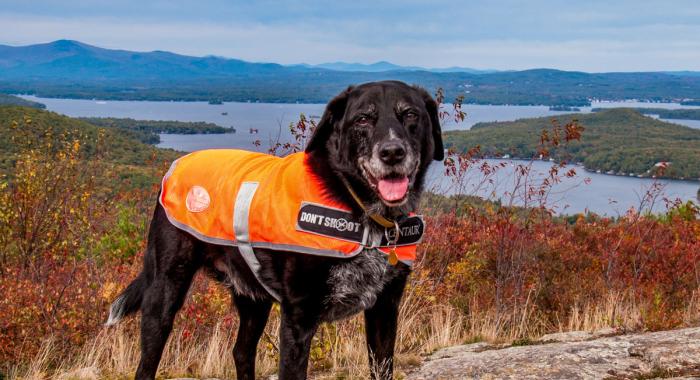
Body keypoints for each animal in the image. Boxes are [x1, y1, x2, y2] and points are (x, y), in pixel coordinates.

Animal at [106, 81, 446, 380]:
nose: (392, 152)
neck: (358, 208)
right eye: (363, 118)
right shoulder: (298, 318)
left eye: (410, 114)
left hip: (253, 297)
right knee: (147, 363)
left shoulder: (384, 310)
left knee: (241, 351)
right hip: (164, 291)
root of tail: (176, 166)